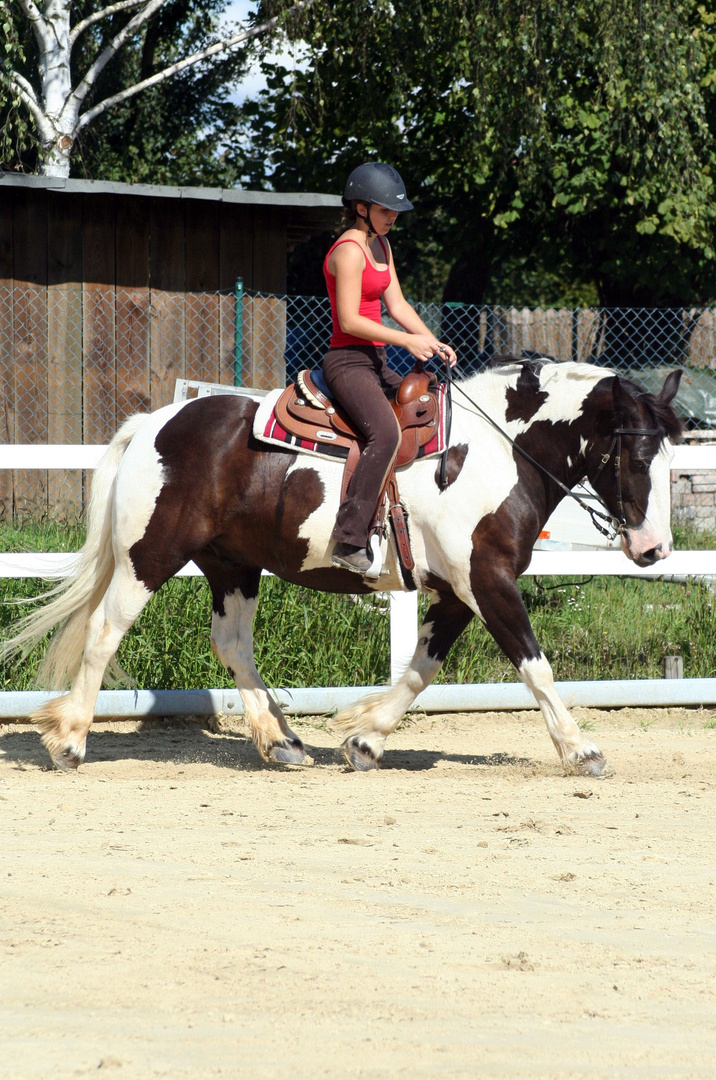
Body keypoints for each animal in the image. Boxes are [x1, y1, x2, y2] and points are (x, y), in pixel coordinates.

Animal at [4, 360, 682, 777]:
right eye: (636, 454)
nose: (654, 549)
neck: (495, 453)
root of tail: (155, 423)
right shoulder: (488, 582)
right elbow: (535, 667)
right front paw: (581, 749)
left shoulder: (459, 592)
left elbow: (422, 669)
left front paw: (364, 738)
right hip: (150, 556)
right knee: (104, 632)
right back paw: (71, 741)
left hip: (232, 565)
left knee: (232, 643)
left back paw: (281, 740)